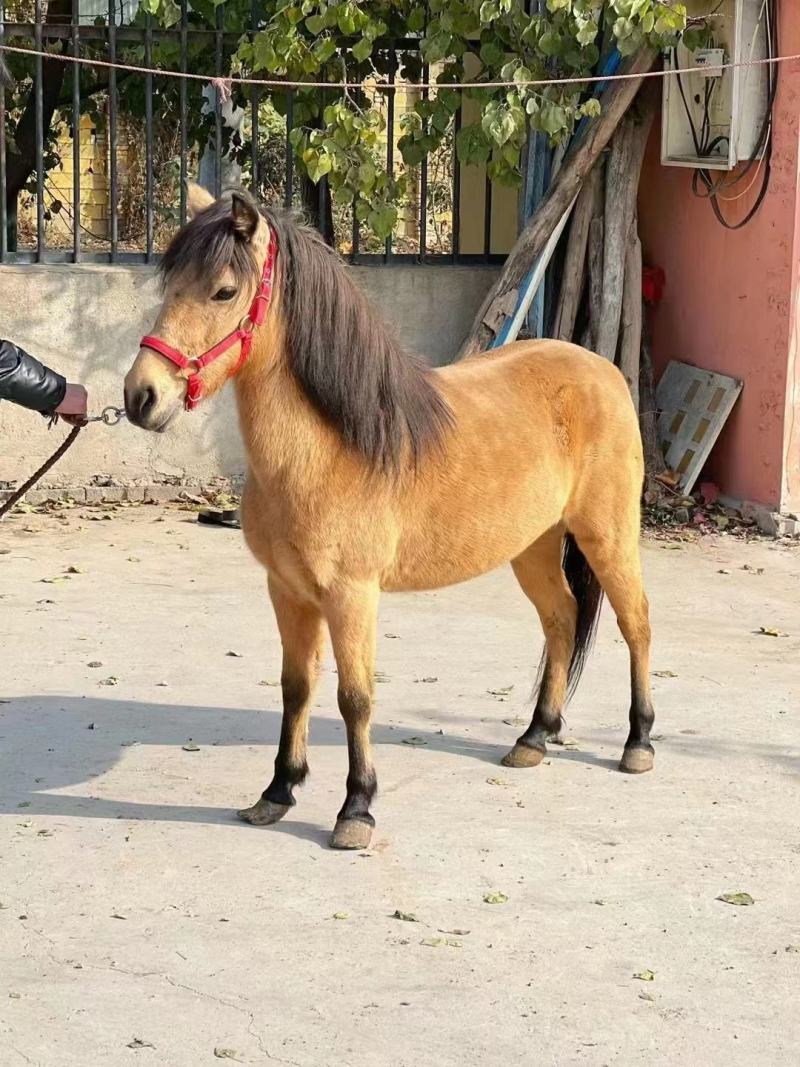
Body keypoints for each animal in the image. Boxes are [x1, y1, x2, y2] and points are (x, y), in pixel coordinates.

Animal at [124, 184, 655, 850]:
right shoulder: (287, 590)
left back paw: (638, 743)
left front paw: (356, 809)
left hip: (609, 536)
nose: (140, 396)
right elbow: (296, 686)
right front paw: (277, 792)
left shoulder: (352, 594)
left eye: (223, 291)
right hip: (533, 545)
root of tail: (601, 368)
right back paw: (534, 737)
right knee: (561, 619)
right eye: (169, 284)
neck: (332, 448)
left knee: (635, 623)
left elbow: (355, 697)